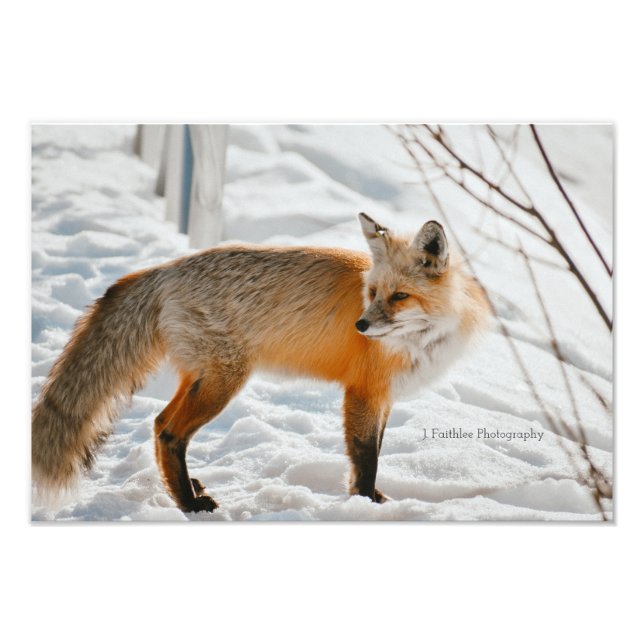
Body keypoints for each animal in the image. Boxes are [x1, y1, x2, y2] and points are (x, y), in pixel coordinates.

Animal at [32, 213, 490, 513]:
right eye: (373, 292)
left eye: (399, 297)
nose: (360, 326)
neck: (420, 341)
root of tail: (168, 269)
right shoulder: (363, 391)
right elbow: (364, 458)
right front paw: (365, 505)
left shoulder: (384, 396)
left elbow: (374, 450)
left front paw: (371, 500)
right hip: (224, 383)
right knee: (169, 432)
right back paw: (189, 503)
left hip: (201, 377)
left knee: (160, 422)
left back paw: (186, 488)